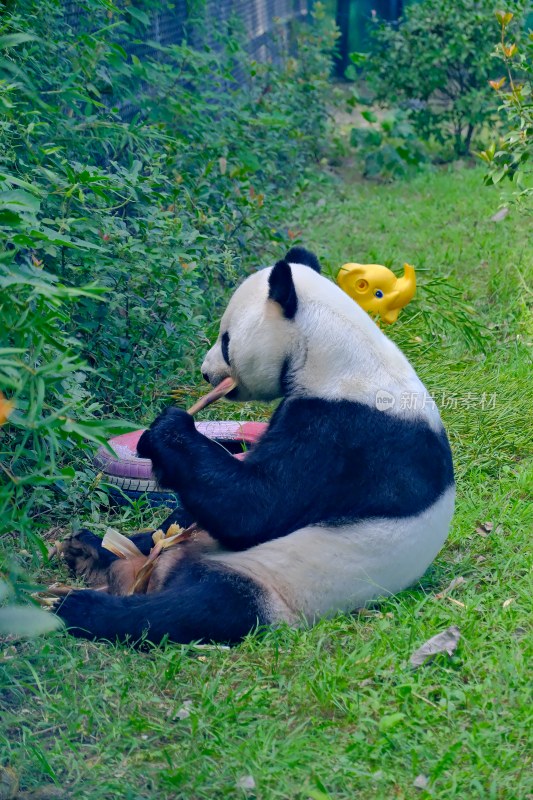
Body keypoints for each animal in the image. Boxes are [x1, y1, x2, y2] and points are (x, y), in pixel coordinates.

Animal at [55, 250, 454, 644]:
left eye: (226, 340)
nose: (205, 373)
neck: (342, 358)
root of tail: (160, 570)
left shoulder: (346, 434)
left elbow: (257, 507)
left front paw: (167, 429)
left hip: (275, 581)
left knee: (200, 607)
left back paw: (82, 608)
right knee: (161, 532)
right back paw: (88, 549)